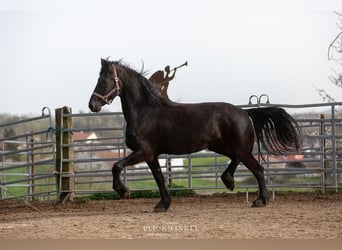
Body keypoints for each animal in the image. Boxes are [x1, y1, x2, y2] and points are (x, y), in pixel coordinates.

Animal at [89, 59, 302, 212]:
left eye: (103, 80)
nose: (93, 105)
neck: (144, 112)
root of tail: (244, 112)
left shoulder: (143, 152)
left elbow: (116, 166)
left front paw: (124, 191)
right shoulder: (151, 156)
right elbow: (159, 178)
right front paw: (163, 204)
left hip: (240, 148)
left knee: (257, 168)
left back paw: (261, 200)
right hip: (221, 146)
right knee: (236, 160)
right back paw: (229, 181)